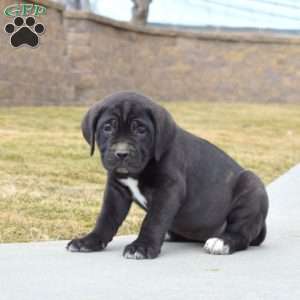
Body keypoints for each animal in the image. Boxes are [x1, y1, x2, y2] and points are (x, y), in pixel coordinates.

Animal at [67, 91, 268, 258]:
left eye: (141, 130)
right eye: (107, 127)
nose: (121, 153)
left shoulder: (168, 190)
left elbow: (154, 219)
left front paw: (142, 246)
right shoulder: (116, 190)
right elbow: (106, 218)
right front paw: (89, 241)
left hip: (251, 185)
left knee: (241, 233)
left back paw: (222, 241)